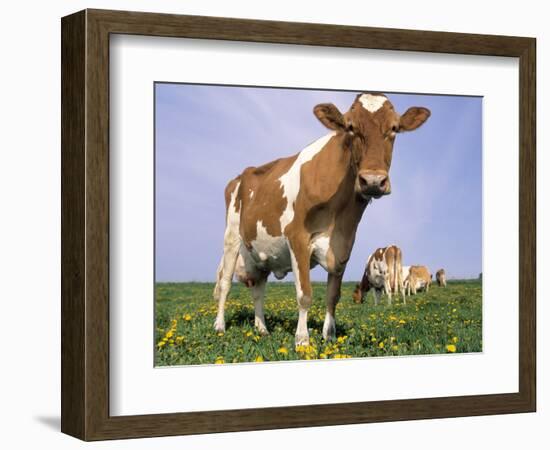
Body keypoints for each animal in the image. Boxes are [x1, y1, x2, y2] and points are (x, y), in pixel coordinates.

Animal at [211, 90, 432, 344]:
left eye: (394, 128)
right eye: (350, 127)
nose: (373, 181)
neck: (340, 215)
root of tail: (242, 174)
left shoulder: (344, 244)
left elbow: (332, 296)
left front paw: (330, 336)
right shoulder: (297, 237)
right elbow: (304, 294)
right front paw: (302, 339)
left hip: (260, 253)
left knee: (258, 290)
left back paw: (262, 328)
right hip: (231, 237)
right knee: (225, 283)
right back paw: (219, 325)